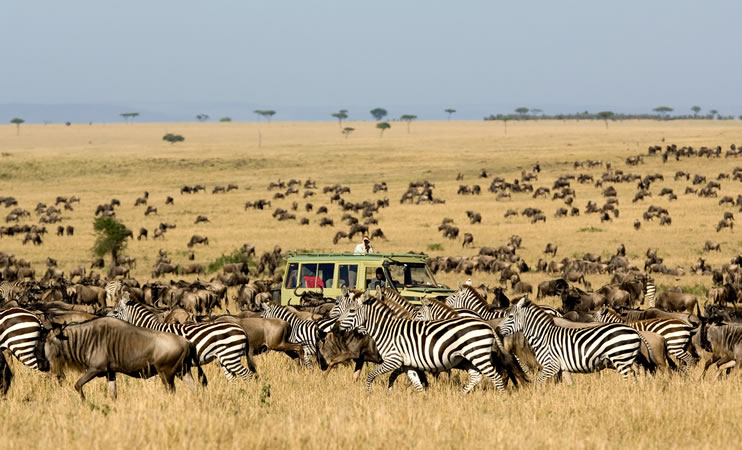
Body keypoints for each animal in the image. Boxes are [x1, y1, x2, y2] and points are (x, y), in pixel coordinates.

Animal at [108, 292, 256, 384]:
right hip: (225, 358)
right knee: (233, 379)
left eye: (115, 311)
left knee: (248, 375)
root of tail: (241, 329)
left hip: (230, 356)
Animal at [336, 294, 506, 392]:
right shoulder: (407, 364)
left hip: (477, 354)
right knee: (477, 377)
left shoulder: (393, 360)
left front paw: (369, 393)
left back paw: (501, 398)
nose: (336, 326)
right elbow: (416, 384)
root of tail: (487, 325)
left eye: (351, 311)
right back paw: (463, 395)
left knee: (496, 377)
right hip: (468, 358)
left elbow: (371, 375)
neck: (386, 330)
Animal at [500, 298, 652, 384]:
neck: (543, 336)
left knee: (629, 379)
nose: (497, 329)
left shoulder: (550, 366)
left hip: (620, 359)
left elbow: (537, 383)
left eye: (510, 316)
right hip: (629, 359)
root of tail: (635, 331)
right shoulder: (563, 367)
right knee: (636, 377)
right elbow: (569, 384)